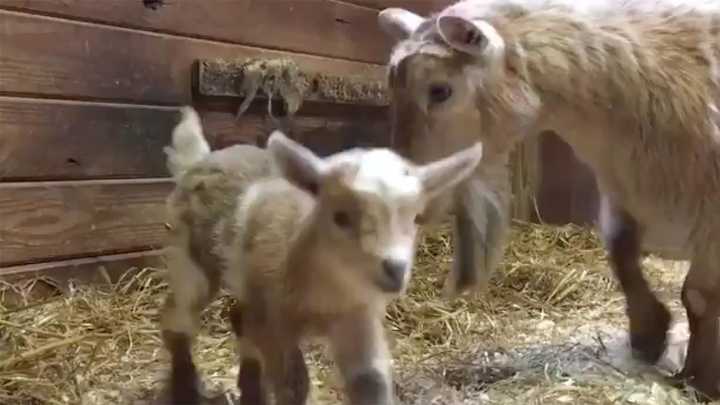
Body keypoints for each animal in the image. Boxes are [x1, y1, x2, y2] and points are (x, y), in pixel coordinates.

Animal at [159, 107, 484, 405]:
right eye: (339, 216)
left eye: (416, 218)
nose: (395, 270)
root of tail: (201, 159)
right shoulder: (275, 323)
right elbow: (294, 385)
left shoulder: (357, 319)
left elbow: (371, 381)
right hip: (190, 258)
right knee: (179, 317)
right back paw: (185, 389)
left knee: (239, 320)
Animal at [378, 0, 720, 400]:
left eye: (440, 90)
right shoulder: (621, 195)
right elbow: (621, 257)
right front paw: (648, 333)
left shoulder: (710, 215)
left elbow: (698, 295)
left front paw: (701, 379)